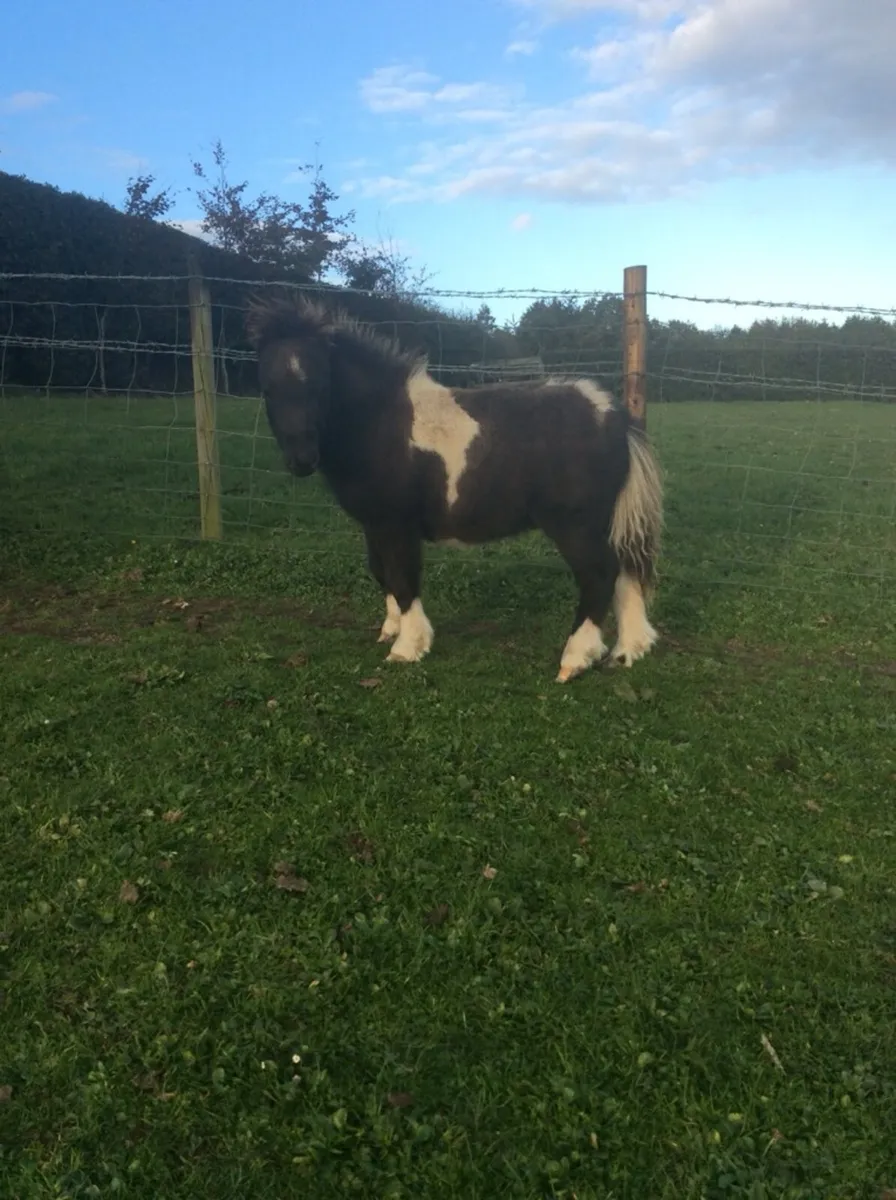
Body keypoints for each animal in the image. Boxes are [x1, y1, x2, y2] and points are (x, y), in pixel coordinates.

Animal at [245, 292, 663, 683]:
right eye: (267, 389)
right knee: (624, 573)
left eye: (321, 384)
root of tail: (612, 415)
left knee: (599, 574)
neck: (380, 423)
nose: (302, 460)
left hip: (574, 524)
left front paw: (407, 647)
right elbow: (382, 573)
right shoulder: (374, 524)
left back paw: (575, 660)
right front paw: (391, 630)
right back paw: (627, 651)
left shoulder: (397, 525)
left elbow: (403, 578)